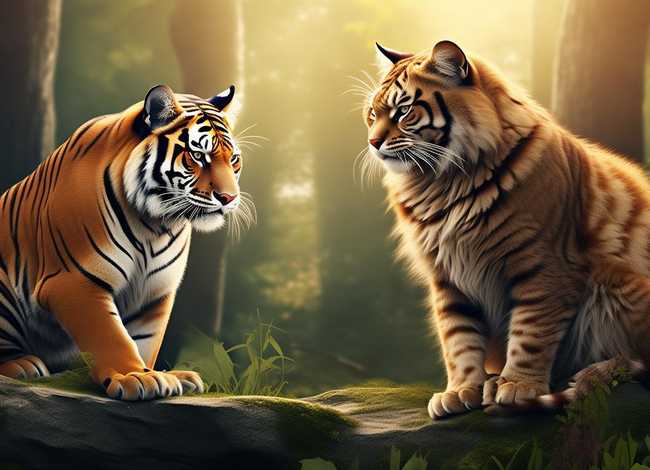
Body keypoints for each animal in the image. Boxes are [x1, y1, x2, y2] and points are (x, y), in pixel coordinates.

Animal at [0, 84, 250, 401]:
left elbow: (144, 340)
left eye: (234, 159)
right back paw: (24, 365)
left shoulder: (154, 293)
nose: (230, 198)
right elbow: (109, 334)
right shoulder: (75, 282)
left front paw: (161, 376)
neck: (155, 225)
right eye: (197, 155)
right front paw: (136, 377)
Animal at [362, 40, 650, 419]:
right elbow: (458, 337)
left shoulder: (545, 266)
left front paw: (518, 386)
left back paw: (592, 374)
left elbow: (531, 331)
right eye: (372, 114)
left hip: (614, 282)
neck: (442, 183)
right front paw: (461, 390)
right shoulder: (448, 277)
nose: (373, 142)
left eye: (403, 112)